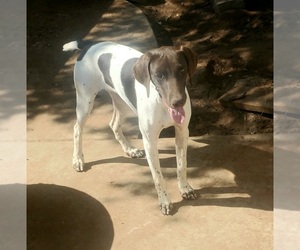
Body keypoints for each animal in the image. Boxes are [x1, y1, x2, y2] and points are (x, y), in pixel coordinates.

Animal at [63, 41, 198, 215]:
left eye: (181, 69)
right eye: (158, 75)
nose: (178, 102)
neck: (161, 104)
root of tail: (88, 44)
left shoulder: (182, 132)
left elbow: (182, 165)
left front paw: (185, 189)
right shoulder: (149, 141)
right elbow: (158, 176)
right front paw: (165, 201)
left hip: (123, 104)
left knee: (114, 124)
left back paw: (130, 149)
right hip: (85, 102)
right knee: (77, 129)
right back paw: (78, 159)